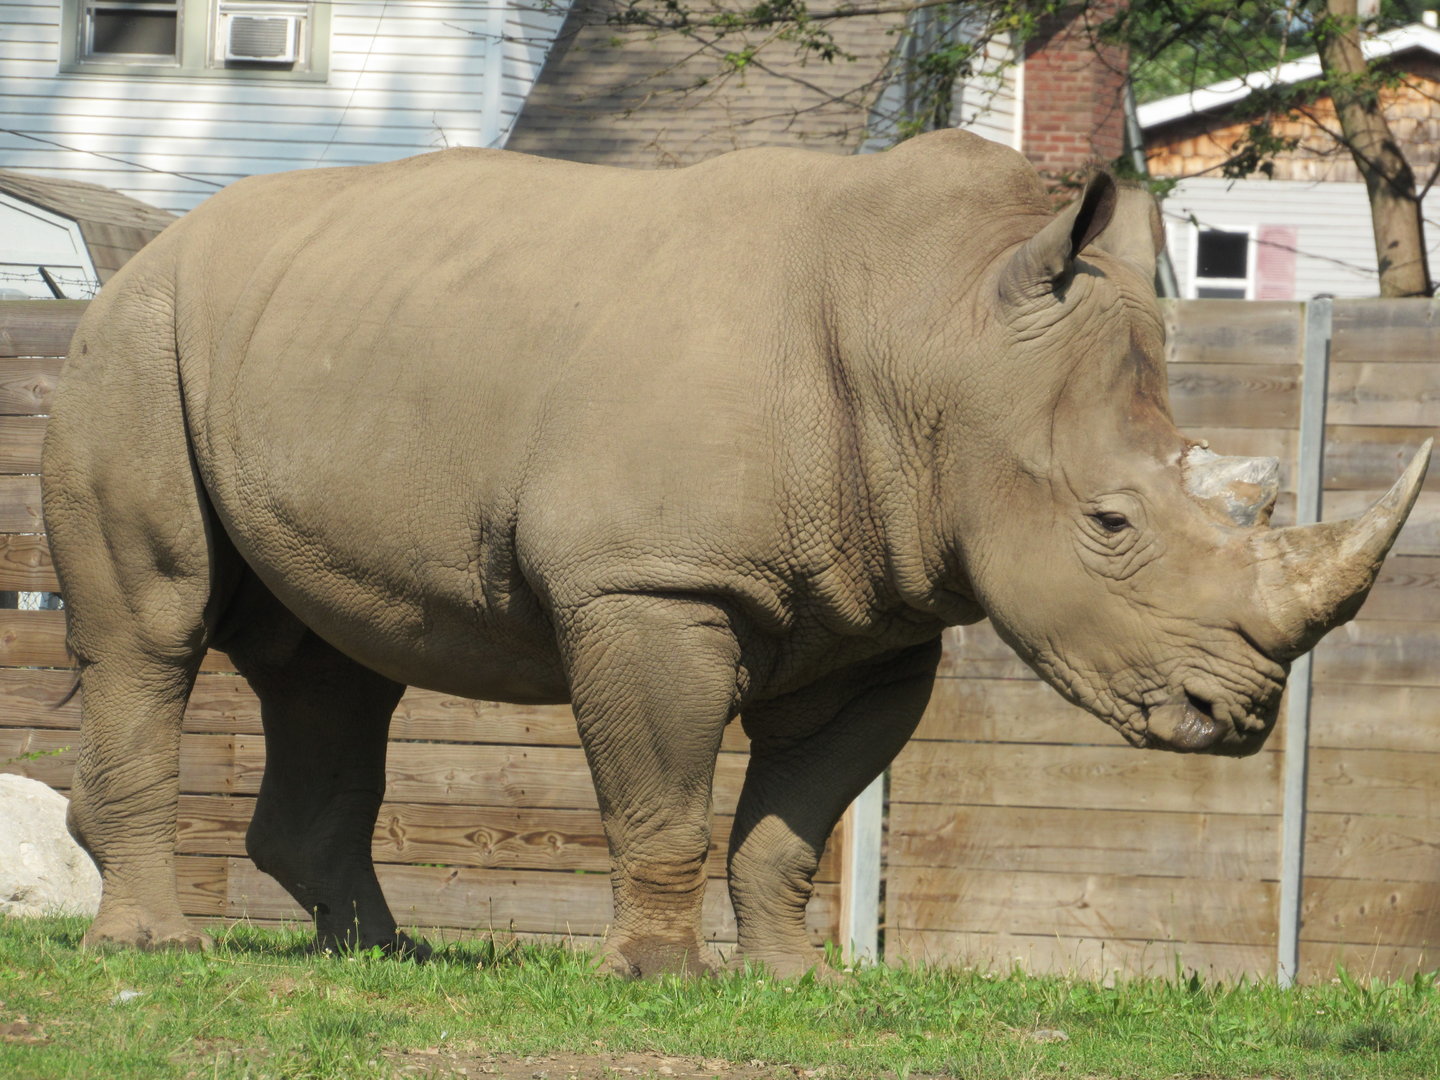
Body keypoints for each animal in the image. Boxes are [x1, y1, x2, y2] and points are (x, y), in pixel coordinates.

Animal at [42, 130, 1429, 977]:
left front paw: (797, 981)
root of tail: (152, 244)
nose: (1239, 715)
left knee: (335, 668)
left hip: (299, 338)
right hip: (137, 346)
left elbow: (797, 818)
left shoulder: (880, 613)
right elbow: (665, 794)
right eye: (1111, 524)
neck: (938, 330)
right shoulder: (649, 581)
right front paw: (659, 975)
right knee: (155, 629)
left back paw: (380, 957)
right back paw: (154, 949)